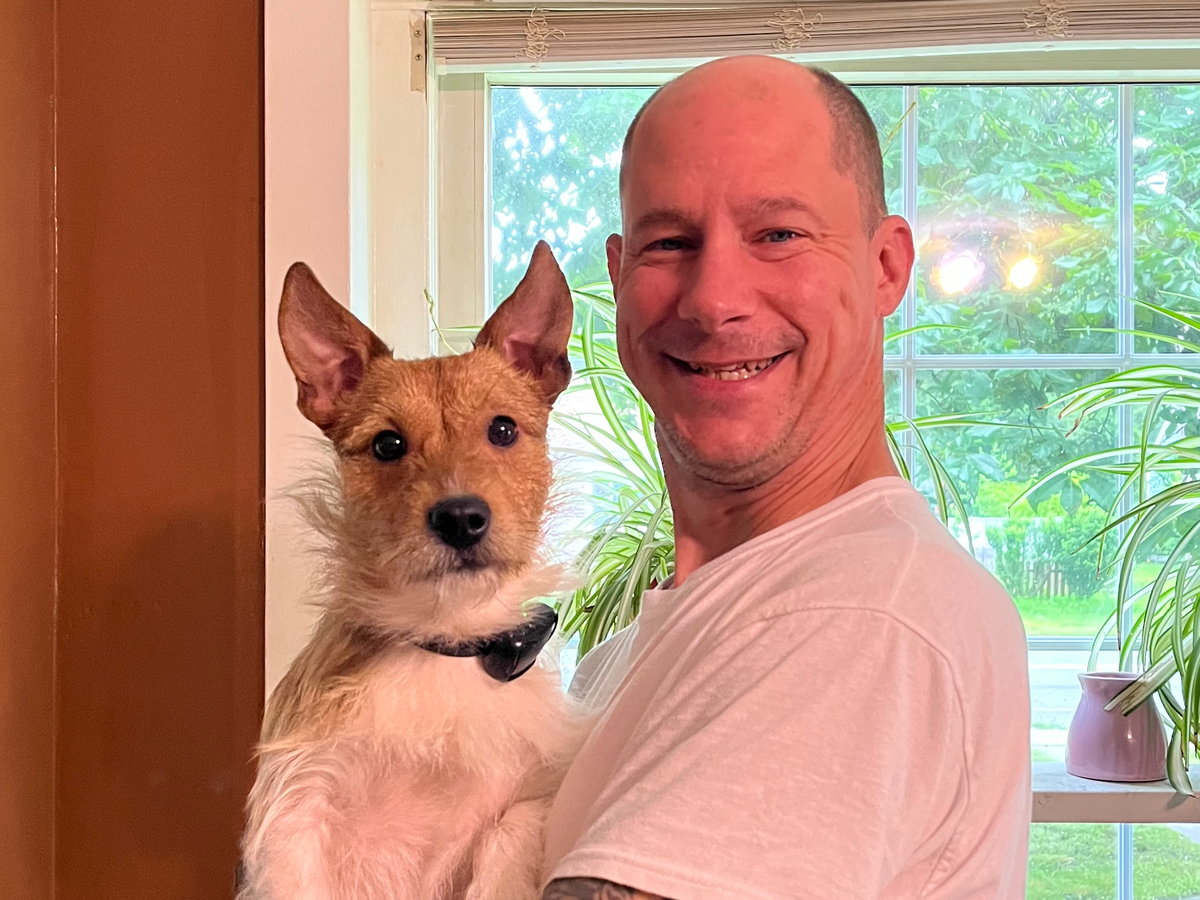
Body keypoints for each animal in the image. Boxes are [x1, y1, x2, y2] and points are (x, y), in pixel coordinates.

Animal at [238, 242, 585, 900]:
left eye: (503, 429)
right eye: (387, 445)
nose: (461, 518)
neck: (442, 638)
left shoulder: (533, 785)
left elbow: (513, 835)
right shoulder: (297, 814)